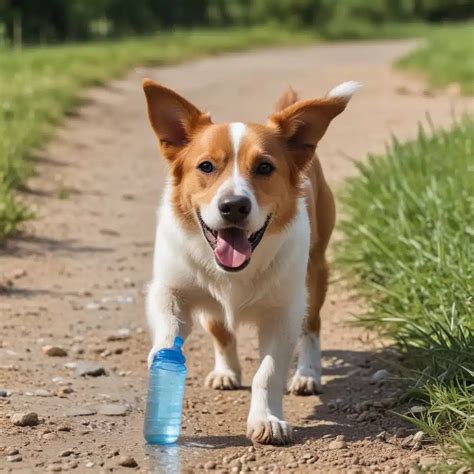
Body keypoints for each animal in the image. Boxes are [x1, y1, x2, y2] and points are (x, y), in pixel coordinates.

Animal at [143, 78, 358, 444]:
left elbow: (268, 372)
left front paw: (267, 418)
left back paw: (307, 374)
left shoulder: (283, 313)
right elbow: (171, 330)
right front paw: (165, 362)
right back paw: (226, 370)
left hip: (315, 273)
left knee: (311, 327)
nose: (234, 206)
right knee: (219, 328)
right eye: (206, 166)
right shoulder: (169, 290)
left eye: (264, 167)